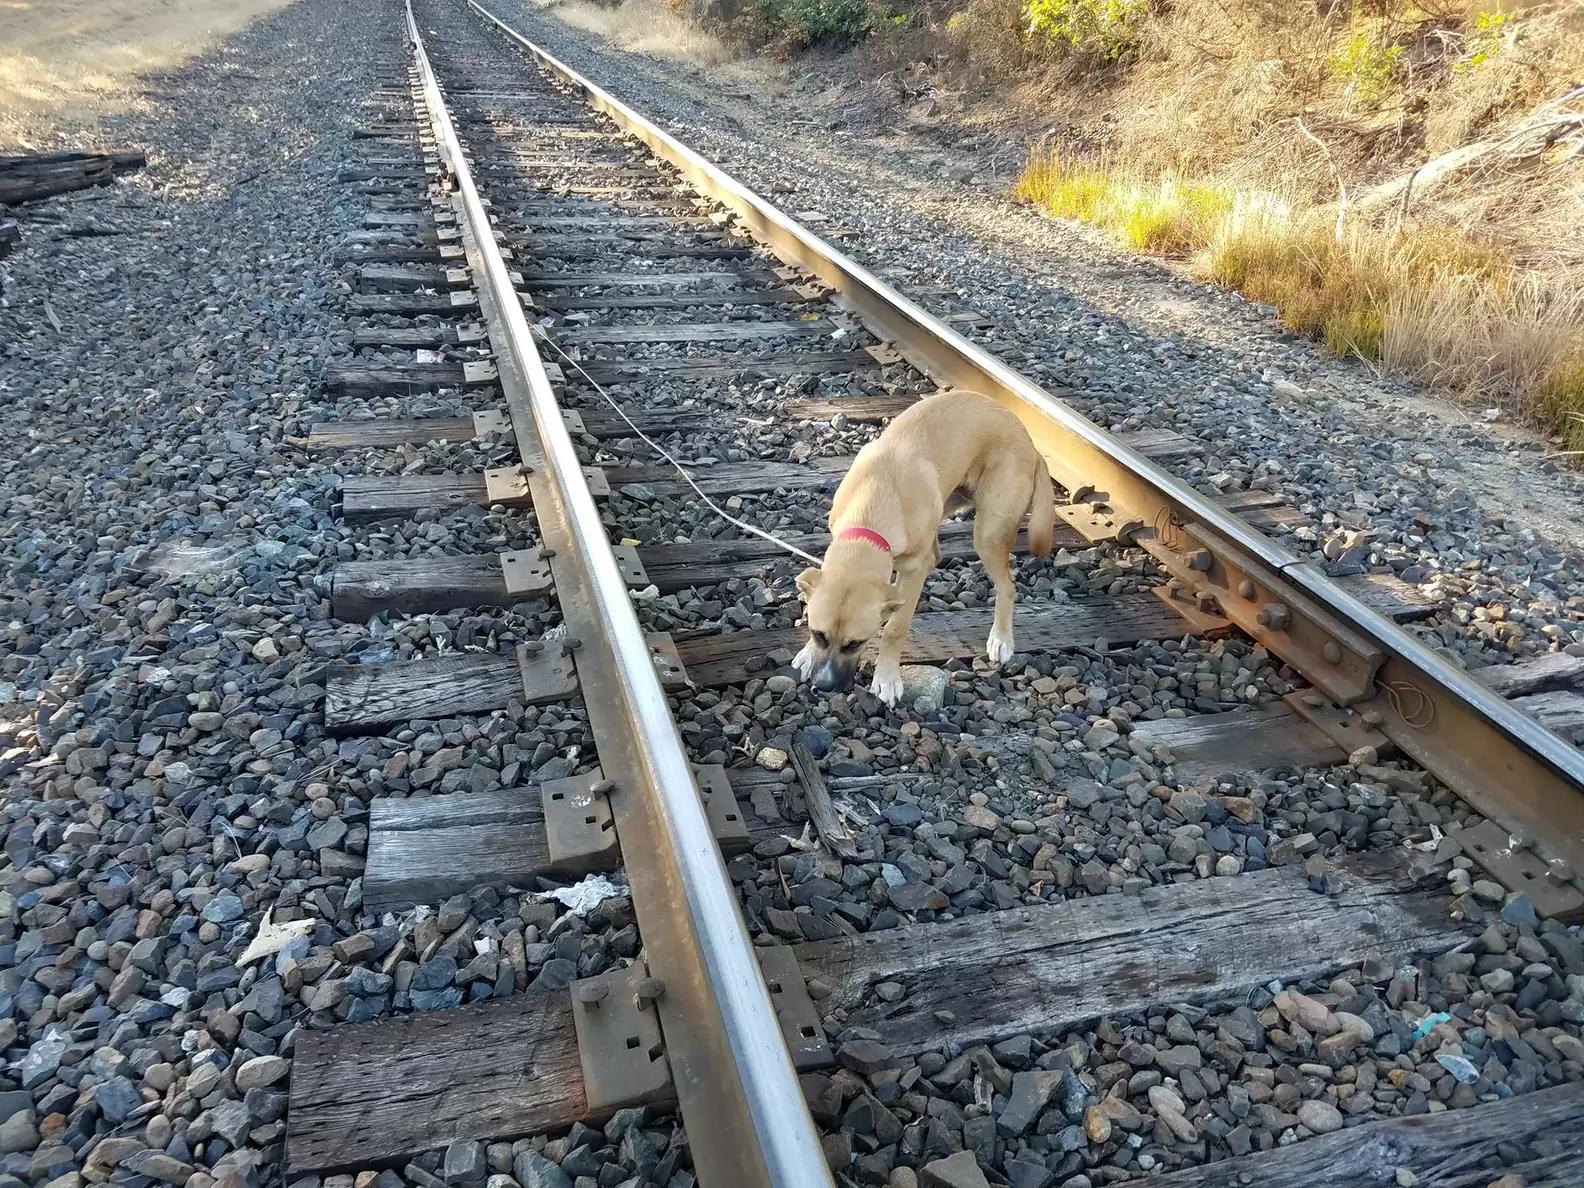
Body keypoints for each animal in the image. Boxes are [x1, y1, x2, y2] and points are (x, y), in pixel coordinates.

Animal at [788, 391, 1051, 706]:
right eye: (819, 635)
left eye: (856, 644)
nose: (824, 687)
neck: (876, 500)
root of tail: (1031, 443)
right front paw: (806, 653)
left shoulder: (913, 571)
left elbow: (895, 628)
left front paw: (887, 678)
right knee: (939, 554)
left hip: (989, 533)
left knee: (1007, 587)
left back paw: (1001, 639)